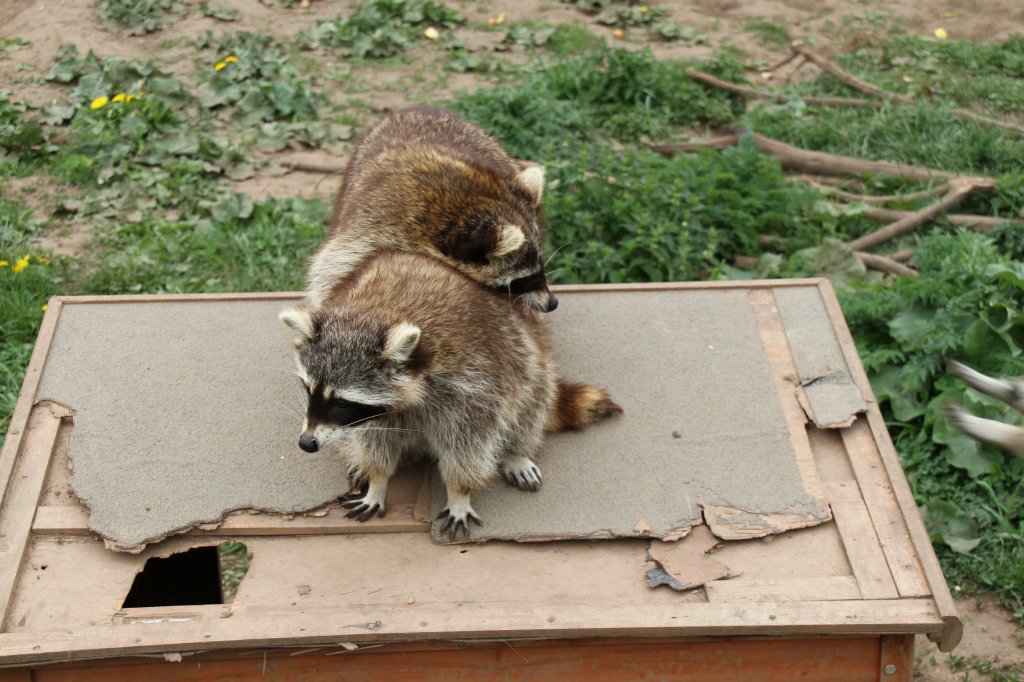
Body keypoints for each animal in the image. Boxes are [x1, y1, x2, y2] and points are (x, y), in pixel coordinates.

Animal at [278, 248, 622, 536]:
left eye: (341, 403)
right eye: (309, 390)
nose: (307, 443)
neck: (375, 312)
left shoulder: (472, 383)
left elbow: (468, 443)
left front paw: (459, 493)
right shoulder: (378, 414)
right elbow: (375, 440)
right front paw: (378, 480)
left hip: (526, 357)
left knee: (531, 399)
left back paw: (517, 450)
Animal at [307, 105, 557, 313]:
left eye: (540, 269)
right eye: (524, 279)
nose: (552, 303)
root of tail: (416, 109)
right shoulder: (363, 234)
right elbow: (331, 275)